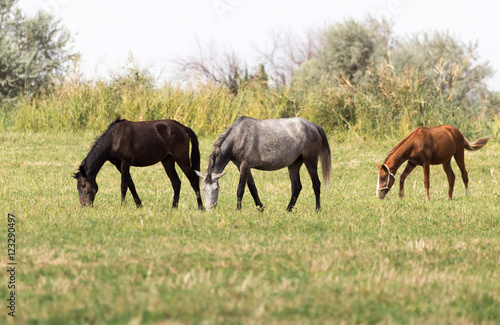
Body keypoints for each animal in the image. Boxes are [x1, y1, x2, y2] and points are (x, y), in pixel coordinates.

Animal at [72, 116, 203, 208]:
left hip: (182, 159)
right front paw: (139, 205)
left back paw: (200, 207)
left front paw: (122, 206)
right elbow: (131, 184)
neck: (114, 138)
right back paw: (173, 207)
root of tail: (183, 127)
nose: (84, 205)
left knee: (193, 180)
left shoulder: (125, 163)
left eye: (83, 185)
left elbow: (124, 185)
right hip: (167, 160)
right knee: (176, 182)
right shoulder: (118, 165)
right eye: (78, 187)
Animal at [195, 116, 332, 210]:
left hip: (310, 161)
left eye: (216, 188)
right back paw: (288, 210)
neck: (238, 137)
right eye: (203, 188)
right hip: (294, 165)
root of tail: (314, 126)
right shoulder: (243, 167)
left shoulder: (244, 165)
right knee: (296, 187)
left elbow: (240, 189)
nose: (210, 209)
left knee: (316, 184)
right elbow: (252, 188)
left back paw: (317, 210)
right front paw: (260, 208)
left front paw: (238, 210)